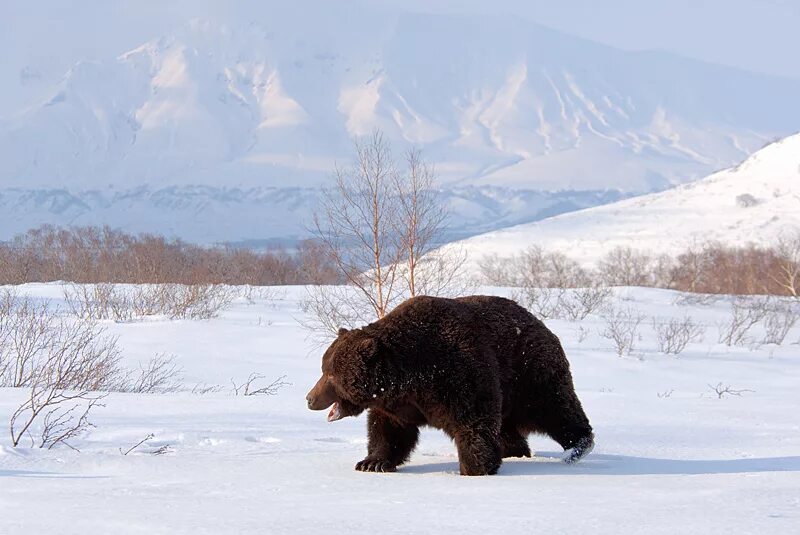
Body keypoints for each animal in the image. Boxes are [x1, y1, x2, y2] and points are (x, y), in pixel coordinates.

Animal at [306, 296, 592, 476]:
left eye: (330, 375)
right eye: (324, 368)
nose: (309, 398)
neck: (409, 378)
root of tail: (542, 325)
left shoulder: (456, 374)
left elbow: (472, 421)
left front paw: (473, 469)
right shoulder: (398, 404)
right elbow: (388, 431)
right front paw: (371, 463)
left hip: (529, 374)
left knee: (555, 408)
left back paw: (577, 447)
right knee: (508, 427)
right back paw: (515, 452)